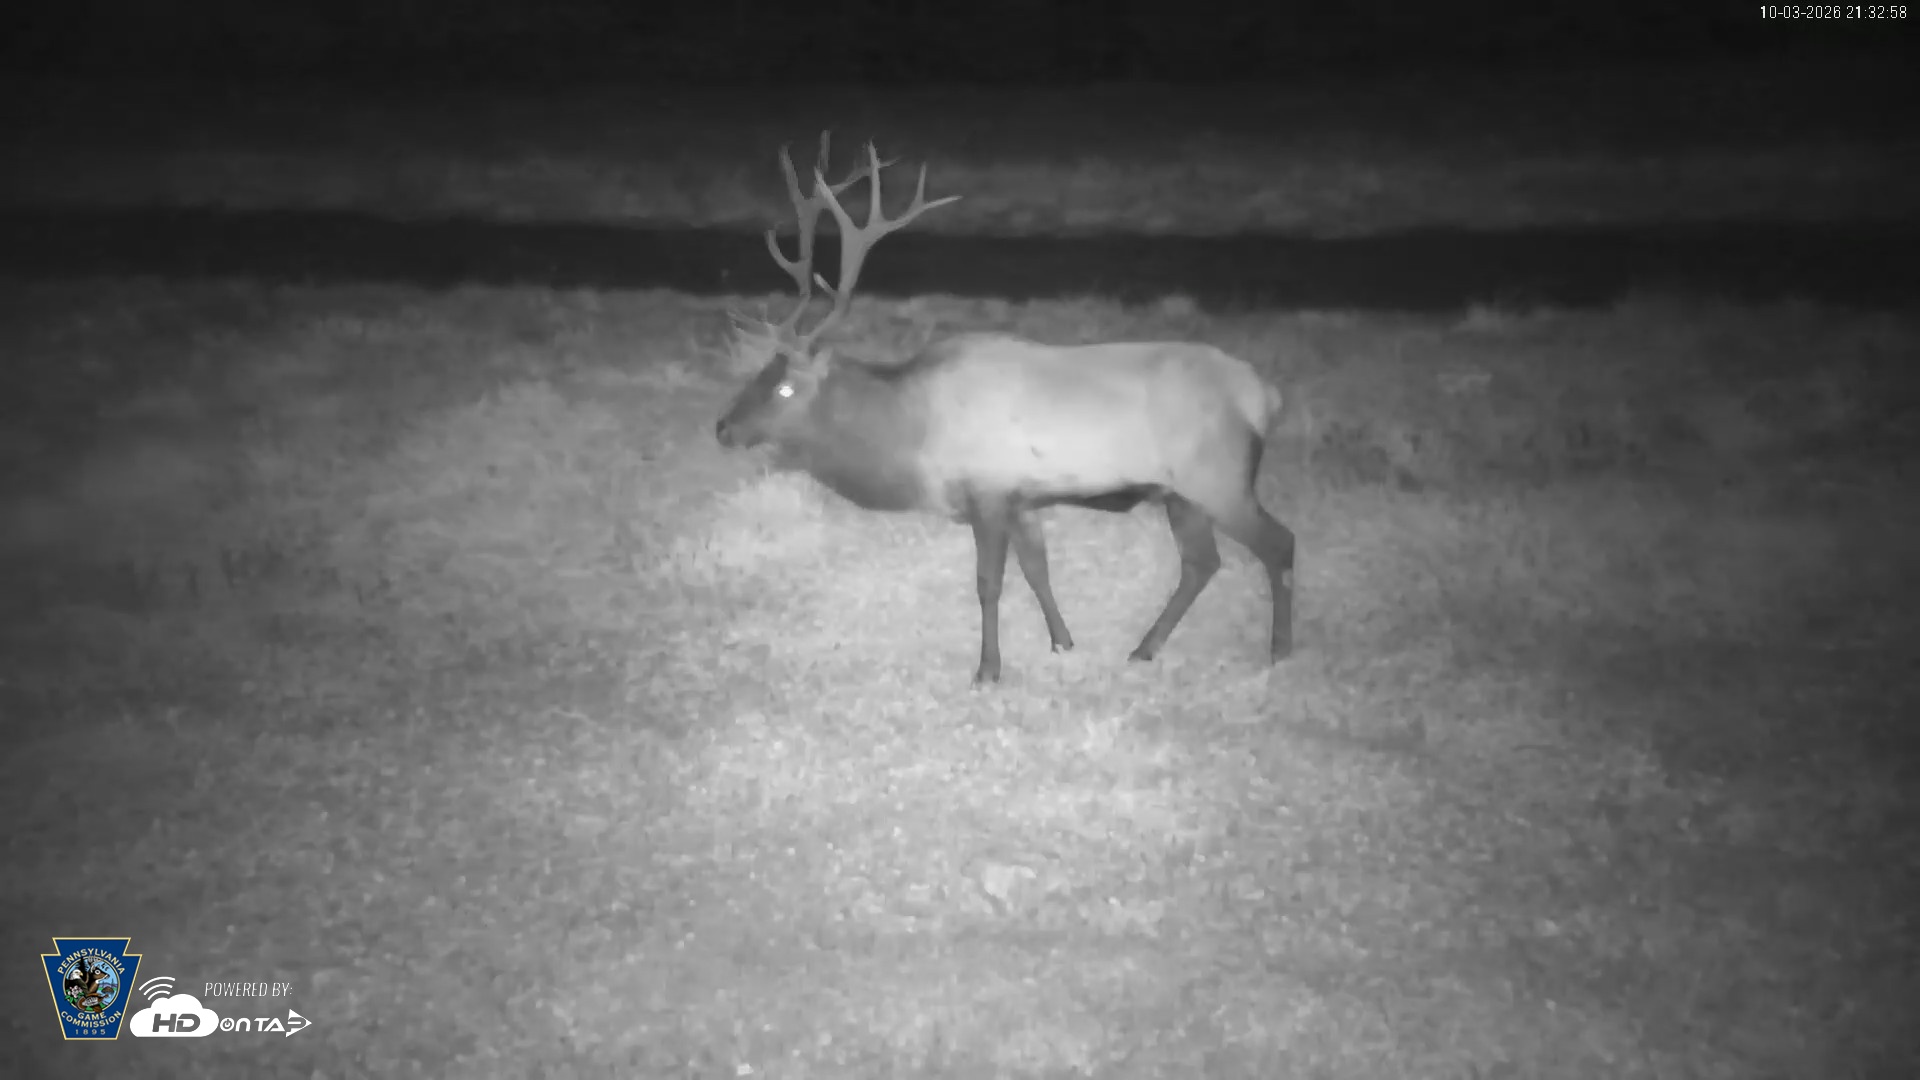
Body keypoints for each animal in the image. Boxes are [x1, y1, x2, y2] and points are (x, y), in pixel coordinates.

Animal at [715, 132, 1295, 685]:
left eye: (785, 389)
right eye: (757, 374)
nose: (723, 427)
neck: (910, 433)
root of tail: (1264, 396)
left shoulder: (988, 493)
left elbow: (988, 584)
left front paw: (988, 670)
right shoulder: (1022, 498)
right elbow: (1038, 570)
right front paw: (1063, 641)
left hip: (1218, 478)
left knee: (1279, 543)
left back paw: (1279, 651)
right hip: (1180, 493)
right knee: (1203, 563)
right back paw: (1144, 648)